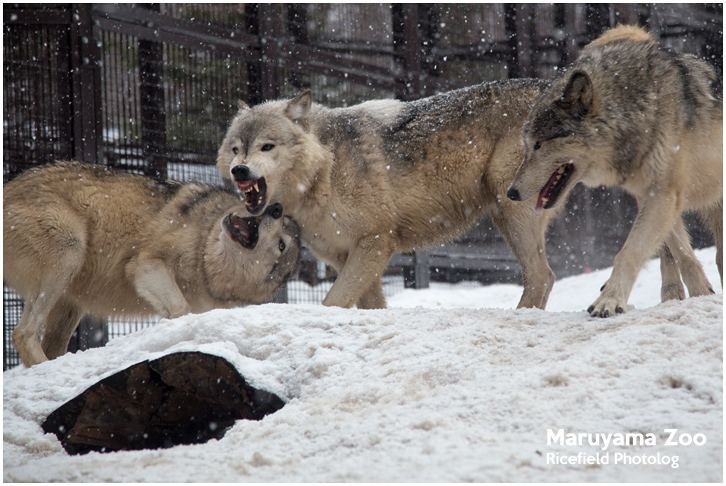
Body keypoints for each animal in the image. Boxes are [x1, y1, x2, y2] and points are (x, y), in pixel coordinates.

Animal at [3, 161, 302, 366]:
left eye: (282, 245)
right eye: (279, 216)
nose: (276, 208)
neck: (203, 259)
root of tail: (8, 188)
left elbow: (179, 310)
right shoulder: (144, 264)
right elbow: (180, 308)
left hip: (70, 304)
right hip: (69, 252)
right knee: (23, 333)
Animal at [510, 24, 724, 318]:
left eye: (538, 145)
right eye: (525, 145)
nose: (511, 192)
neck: (638, 112)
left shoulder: (664, 193)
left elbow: (629, 251)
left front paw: (609, 301)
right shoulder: (655, 196)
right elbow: (682, 253)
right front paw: (701, 294)